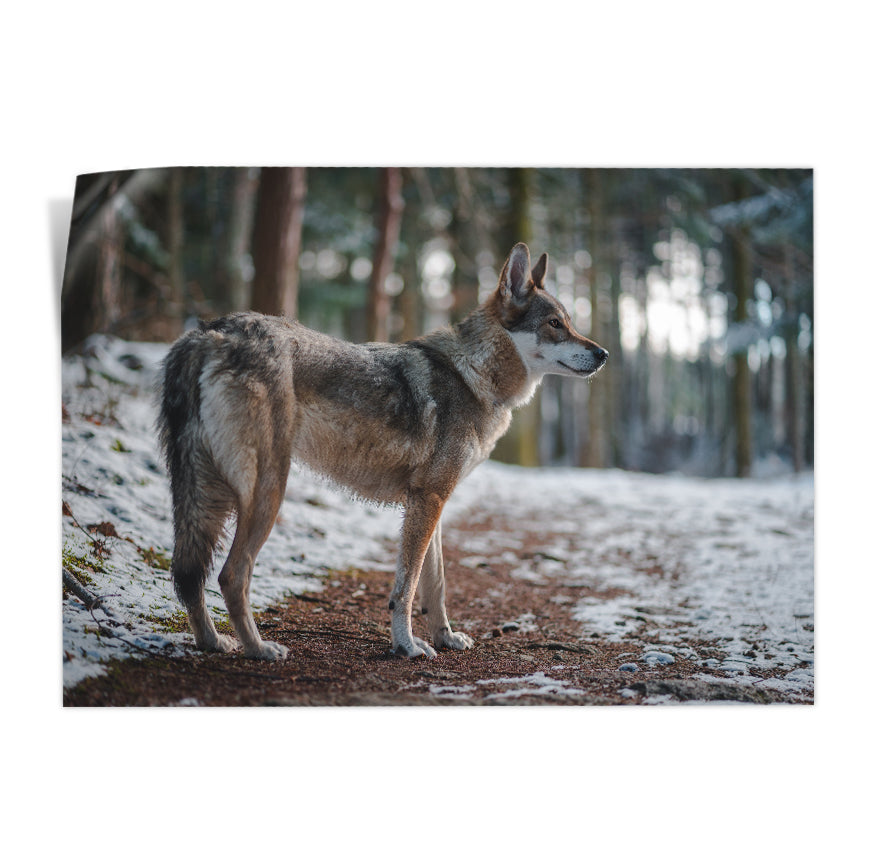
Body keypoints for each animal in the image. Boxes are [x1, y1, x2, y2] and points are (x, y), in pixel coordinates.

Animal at [158, 242, 607, 660]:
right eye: (555, 324)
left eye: (570, 323)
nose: (603, 354)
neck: (474, 375)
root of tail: (209, 331)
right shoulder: (428, 500)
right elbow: (406, 588)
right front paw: (406, 646)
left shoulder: (431, 501)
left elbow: (435, 584)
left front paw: (445, 638)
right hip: (266, 492)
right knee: (230, 575)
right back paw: (259, 648)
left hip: (205, 494)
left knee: (189, 574)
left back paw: (213, 642)